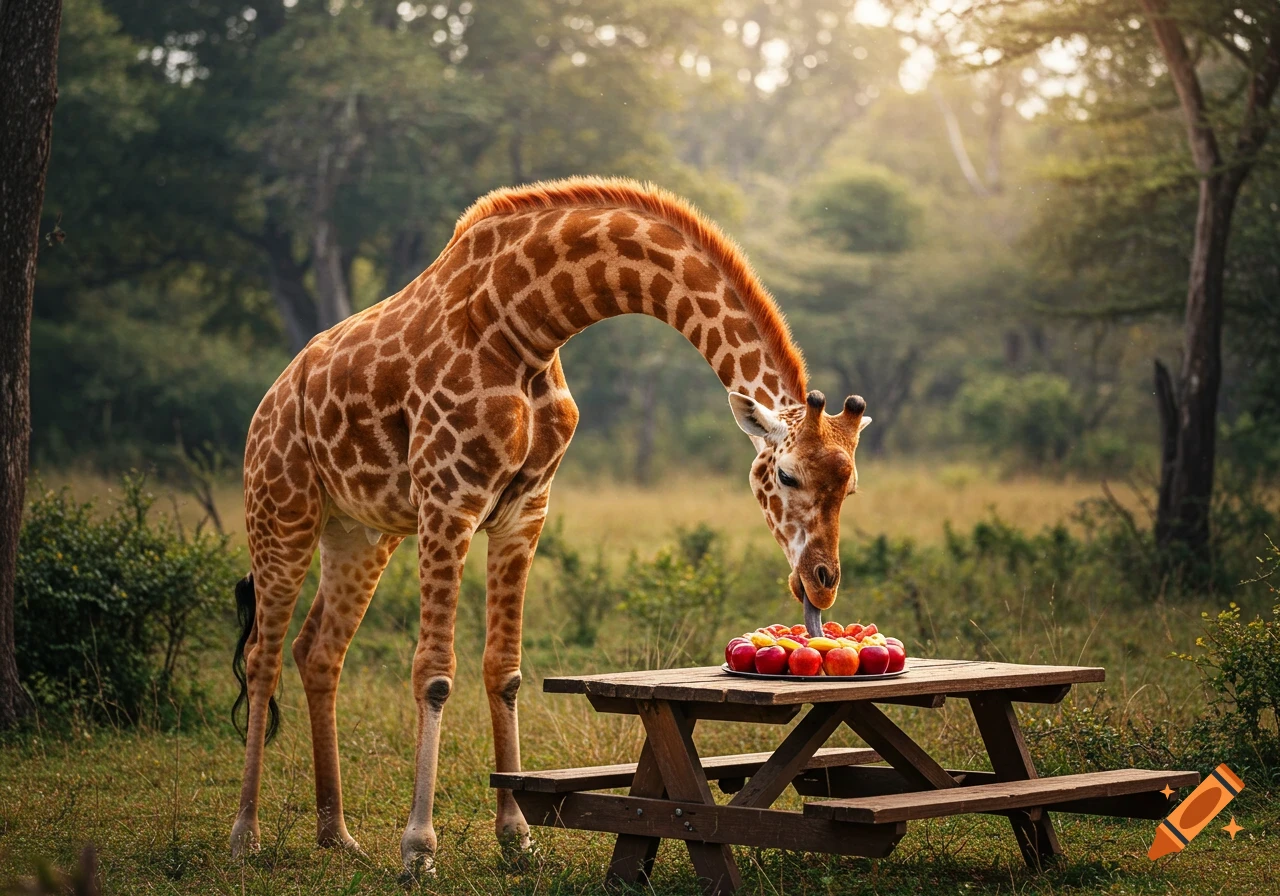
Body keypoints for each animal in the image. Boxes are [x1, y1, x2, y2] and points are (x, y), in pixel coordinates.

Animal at [228, 177, 872, 874]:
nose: (822, 584)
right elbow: (434, 673)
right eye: (787, 477)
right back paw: (245, 835)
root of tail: (268, 401)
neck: (526, 325)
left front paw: (517, 836)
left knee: (319, 650)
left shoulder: (523, 511)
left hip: (360, 532)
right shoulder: (448, 499)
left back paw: (336, 834)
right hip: (281, 511)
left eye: (850, 486)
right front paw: (419, 849)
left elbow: (504, 670)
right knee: (262, 656)